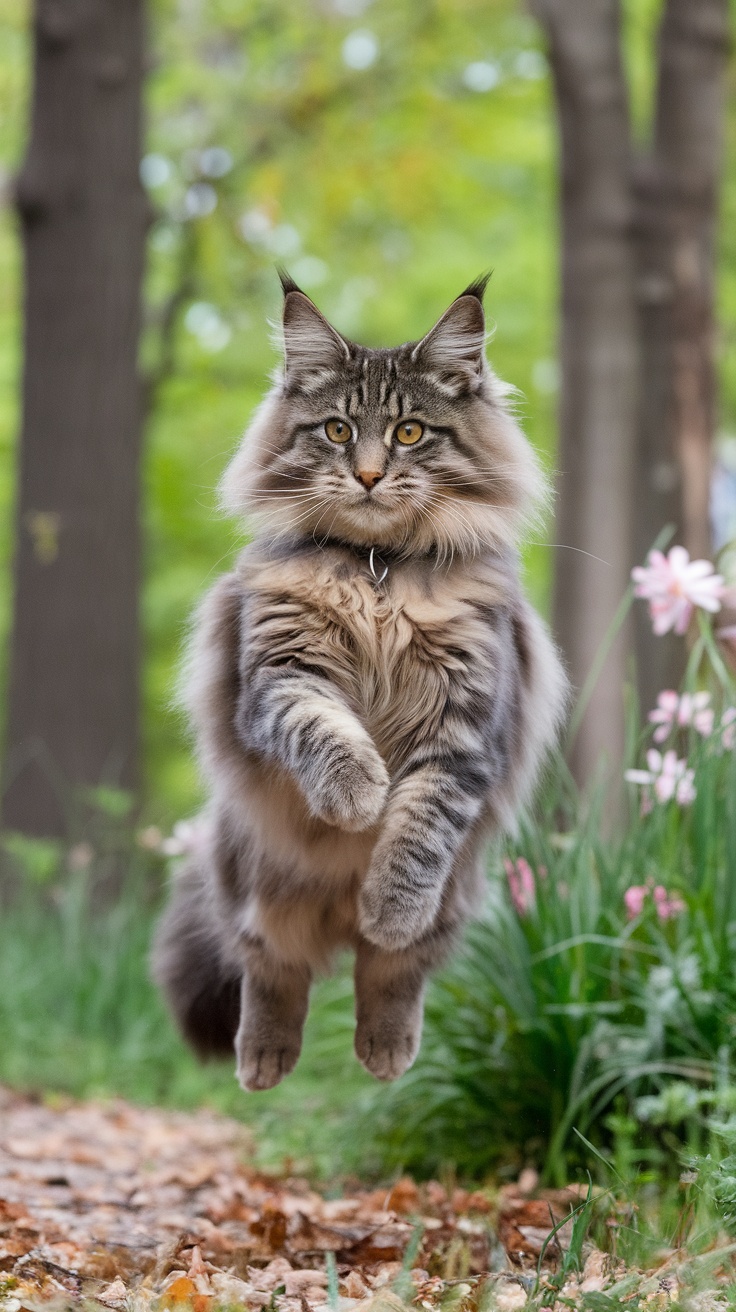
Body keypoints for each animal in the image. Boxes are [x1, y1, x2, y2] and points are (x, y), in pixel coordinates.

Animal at [153, 279, 569, 1096]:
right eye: (339, 430)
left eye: (409, 433)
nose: (371, 475)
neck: (379, 573)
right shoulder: (281, 674)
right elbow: (325, 731)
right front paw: (357, 799)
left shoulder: (466, 726)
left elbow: (416, 834)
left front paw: (389, 900)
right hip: (256, 888)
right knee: (272, 972)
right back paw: (264, 1062)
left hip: (455, 900)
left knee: (389, 973)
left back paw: (384, 1045)